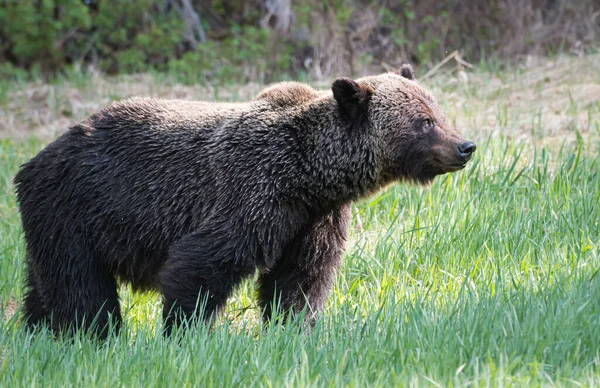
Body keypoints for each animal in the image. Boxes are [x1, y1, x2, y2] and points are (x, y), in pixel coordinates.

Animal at [12, 65, 474, 338]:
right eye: (424, 121)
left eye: (437, 111)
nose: (465, 146)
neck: (309, 176)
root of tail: (37, 156)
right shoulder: (253, 192)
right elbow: (203, 261)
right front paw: (184, 331)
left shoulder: (313, 219)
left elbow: (300, 278)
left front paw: (293, 328)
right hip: (76, 209)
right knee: (81, 285)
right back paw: (92, 334)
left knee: (45, 281)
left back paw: (37, 329)